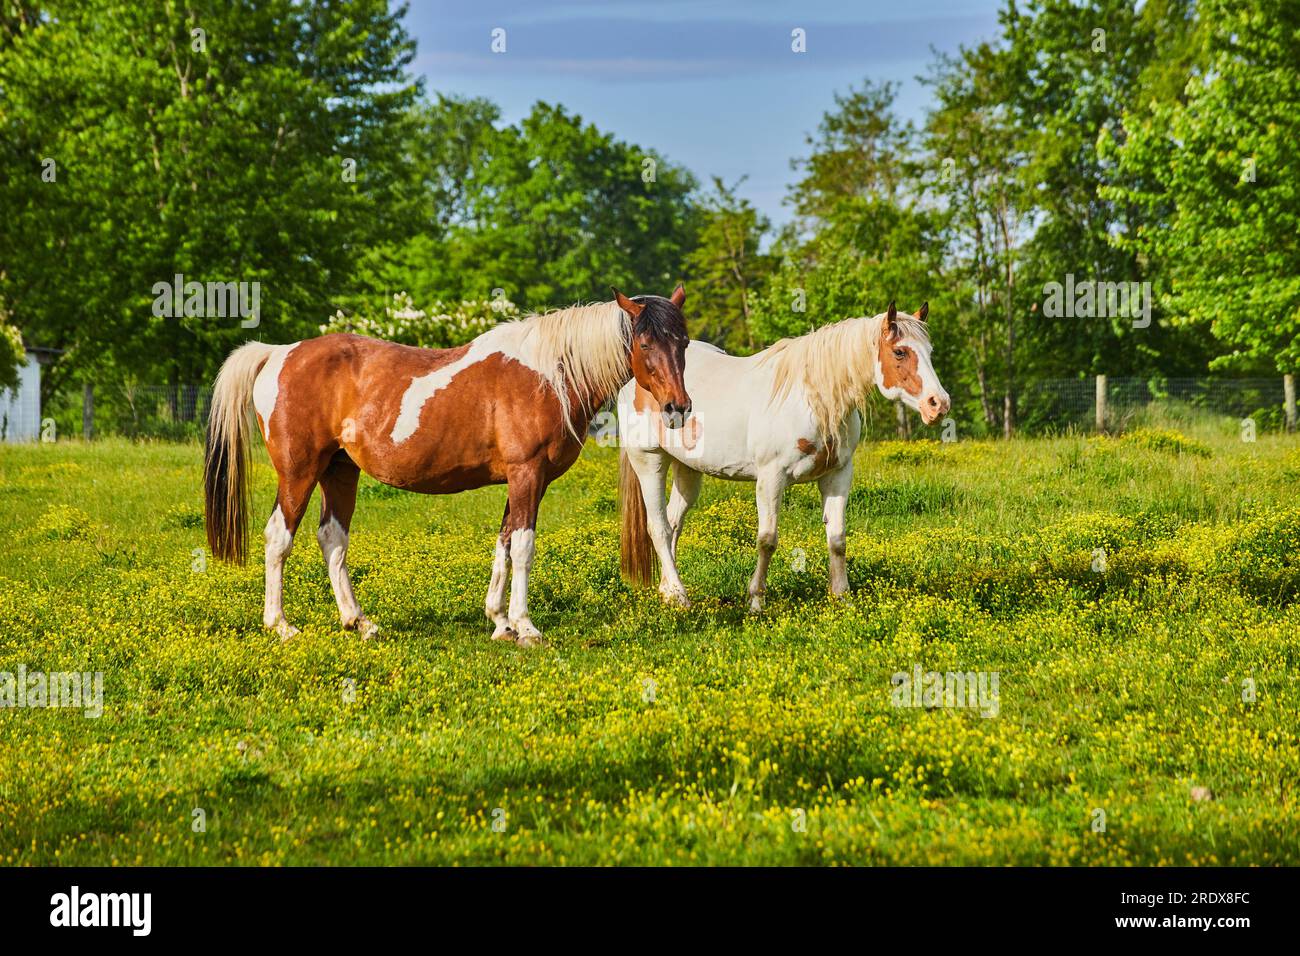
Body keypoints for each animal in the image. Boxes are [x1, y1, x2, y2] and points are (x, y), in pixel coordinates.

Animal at [202, 287, 691, 647]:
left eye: (683, 342)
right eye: (644, 343)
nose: (677, 407)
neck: (549, 375)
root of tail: (278, 353)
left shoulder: (518, 481)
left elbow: (503, 544)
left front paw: (499, 622)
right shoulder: (527, 474)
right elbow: (523, 547)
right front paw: (526, 627)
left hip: (339, 471)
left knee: (332, 539)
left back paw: (359, 621)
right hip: (299, 473)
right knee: (278, 538)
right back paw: (280, 625)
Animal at [613, 303, 951, 608]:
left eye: (930, 351)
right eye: (900, 352)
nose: (939, 404)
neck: (814, 398)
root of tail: (633, 375)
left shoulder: (838, 475)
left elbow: (837, 538)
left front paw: (842, 599)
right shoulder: (771, 478)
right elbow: (767, 540)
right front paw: (756, 601)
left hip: (687, 469)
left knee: (673, 523)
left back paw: (667, 591)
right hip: (649, 461)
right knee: (658, 528)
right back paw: (679, 597)